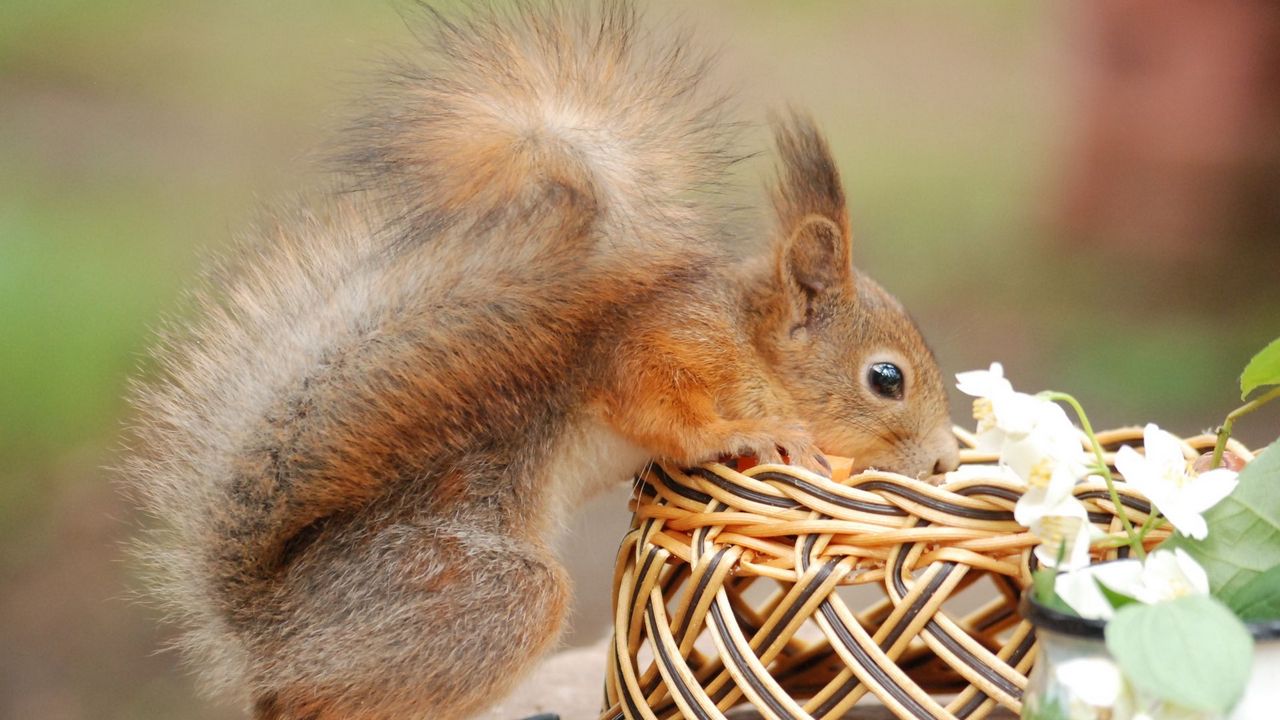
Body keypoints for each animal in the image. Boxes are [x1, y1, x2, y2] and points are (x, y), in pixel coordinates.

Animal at [122, 2, 962, 712]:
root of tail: (269, 638)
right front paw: (752, 436)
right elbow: (662, 411)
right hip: (486, 597)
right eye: (886, 378)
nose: (943, 459)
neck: (751, 340)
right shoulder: (663, 346)